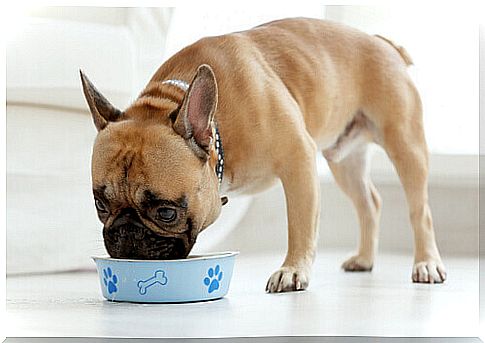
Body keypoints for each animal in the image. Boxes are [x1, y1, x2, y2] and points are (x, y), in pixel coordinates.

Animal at [80, 17, 446, 294]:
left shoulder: (298, 159)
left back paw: (427, 263)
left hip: (405, 143)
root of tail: (384, 43)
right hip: (344, 161)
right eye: (100, 205)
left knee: (421, 211)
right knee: (370, 203)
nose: (126, 232)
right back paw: (365, 259)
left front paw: (293, 270)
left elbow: (300, 225)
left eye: (167, 212)